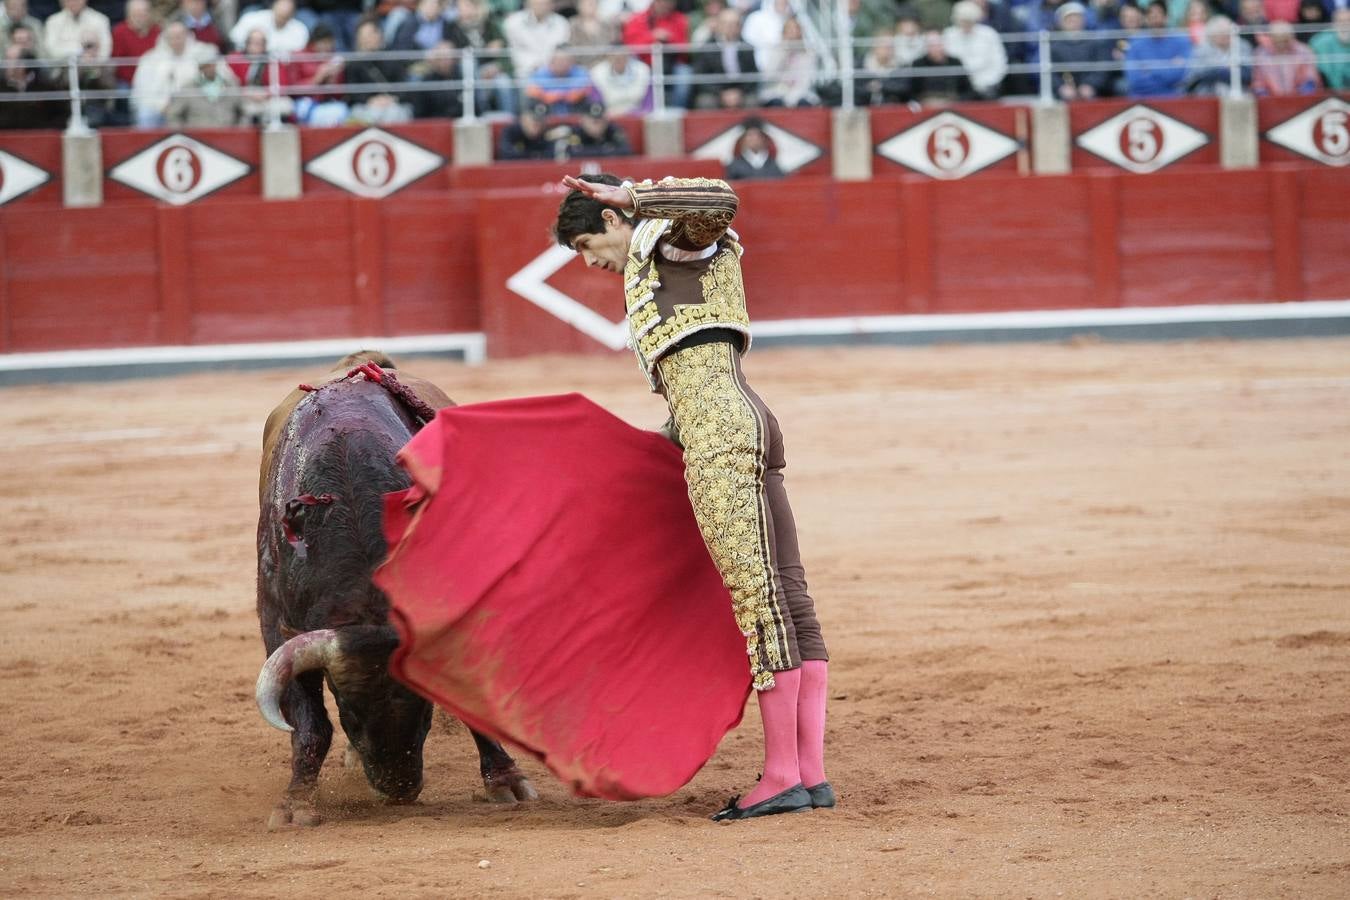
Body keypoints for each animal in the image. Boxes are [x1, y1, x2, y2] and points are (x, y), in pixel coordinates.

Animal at [253, 350, 537, 831]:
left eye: (425, 706)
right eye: (349, 710)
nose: (400, 789)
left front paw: (506, 780)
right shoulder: (279, 624)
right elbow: (311, 724)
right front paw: (295, 803)